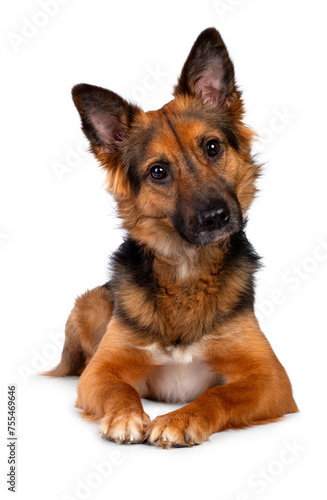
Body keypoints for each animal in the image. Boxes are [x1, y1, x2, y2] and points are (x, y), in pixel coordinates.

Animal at [48, 28, 300, 450]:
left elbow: (220, 394)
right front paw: (126, 416)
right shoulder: (101, 371)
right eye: (158, 172)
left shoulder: (272, 378)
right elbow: (118, 388)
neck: (186, 269)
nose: (216, 217)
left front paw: (181, 419)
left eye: (212, 147)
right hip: (90, 303)